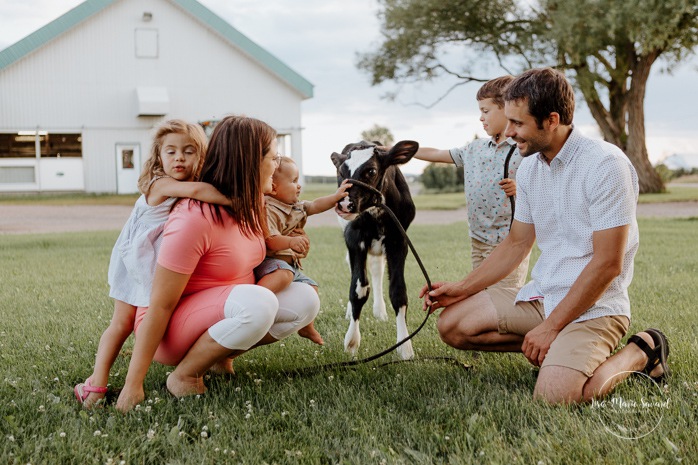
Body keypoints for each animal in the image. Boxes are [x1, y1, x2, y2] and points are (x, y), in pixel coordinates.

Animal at [328, 138, 416, 358]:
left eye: (371, 171)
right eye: (341, 171)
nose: (344, 204)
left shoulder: (398, 241)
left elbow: (398, 291)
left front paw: (405, 346)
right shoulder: (354, 238)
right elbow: (358, 290)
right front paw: (351, 342)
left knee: (377, 269)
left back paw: (379, 311)